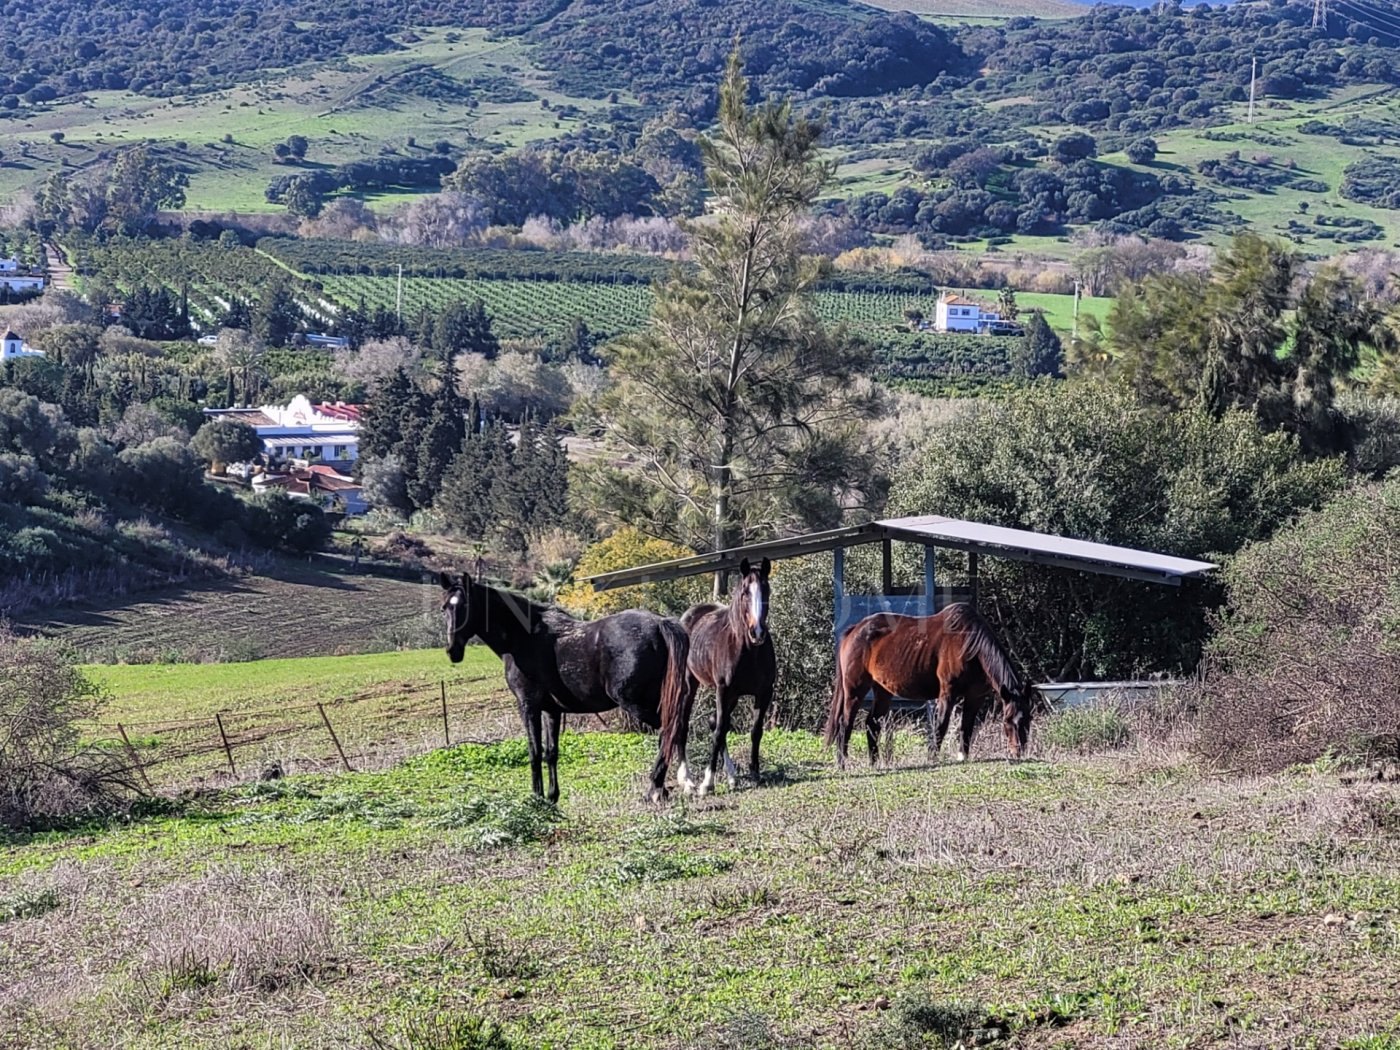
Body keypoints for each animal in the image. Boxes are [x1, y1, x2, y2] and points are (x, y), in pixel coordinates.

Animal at [439, 571, 695, 803]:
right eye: (444, 608)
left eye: (465, 606)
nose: (452, 651)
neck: (523, 637)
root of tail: (660, 623)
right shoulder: (552, 710)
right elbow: (551, 753)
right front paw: (552, 797)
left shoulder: (528, 706)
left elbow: (534, 752)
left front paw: (537, 797)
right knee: (677, 730)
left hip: (637, 702)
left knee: (667, 731)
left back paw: (655, 789)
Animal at [680, 557, 777, 795]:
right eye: (744, 592)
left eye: (766, 590)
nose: (757, 632)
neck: (748, 651)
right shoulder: (723, 690)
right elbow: (719, 731)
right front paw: (707, 782)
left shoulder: (763, 693)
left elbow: (755, 731)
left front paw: (755, 773)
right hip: (690, 685)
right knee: (685, 725)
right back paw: (687, 780)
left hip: (732, 697)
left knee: (717, 723)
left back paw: (732, 776)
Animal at [822, 602, 1033, 770]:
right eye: (1007, 721)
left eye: (1027, 719)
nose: (1018, 752)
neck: (970, 645)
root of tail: (855, 629)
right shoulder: (947, 693)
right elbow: (941, 725)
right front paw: (932, 758)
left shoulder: (975, 697)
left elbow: (967, 727)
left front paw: (963, 756)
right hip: (854, 690)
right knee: (845, 724)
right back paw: (842, 764)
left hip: (882, 690)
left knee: (872, 723)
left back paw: (874, 763)